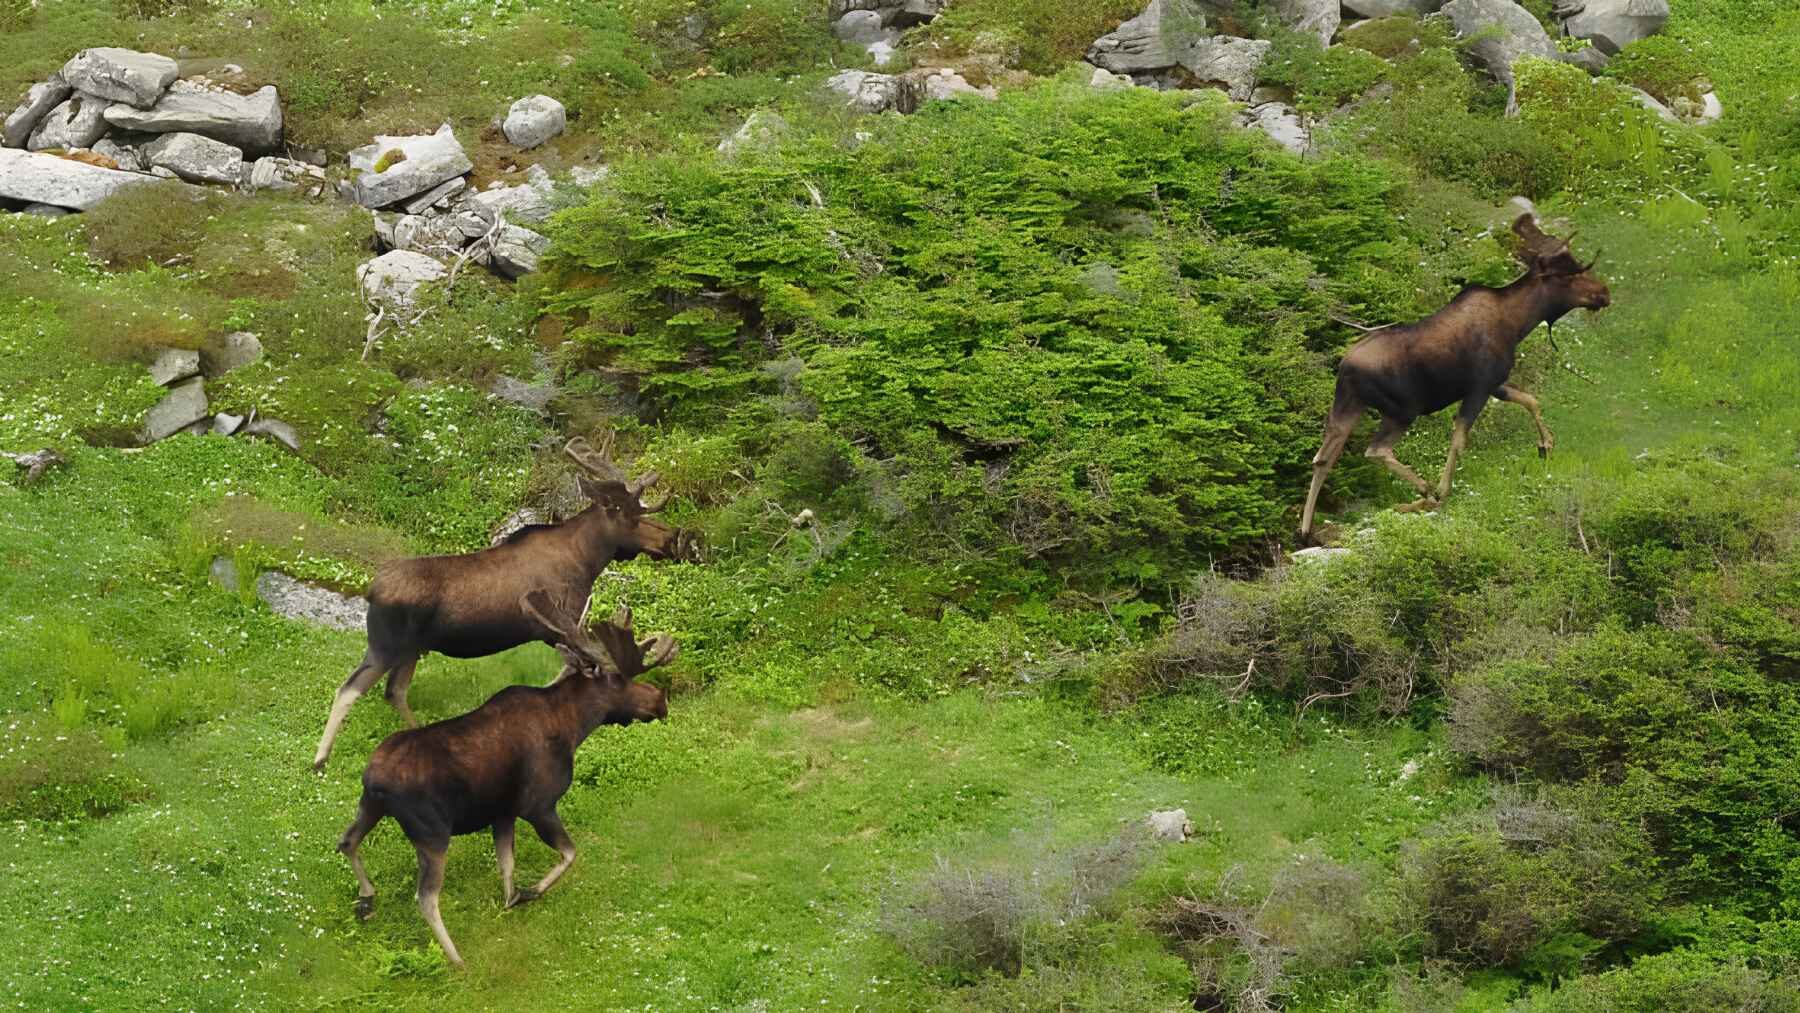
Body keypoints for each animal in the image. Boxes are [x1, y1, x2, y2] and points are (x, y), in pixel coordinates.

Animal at [312, 434, 679, 772]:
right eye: (632, 515)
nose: (669, 538)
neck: (588, 559)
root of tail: (371, 591)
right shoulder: (561, 621)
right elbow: (567, 673)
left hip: (411, 649)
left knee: (394, 691)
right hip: (386, 644)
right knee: (349, 689)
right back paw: (320, 760)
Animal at [336, 589, 675, 969]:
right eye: (622, 679)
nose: (660, 700)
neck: (575, 727)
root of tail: (375, 779)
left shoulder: (502, 812)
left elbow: (507, 864)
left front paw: (511, 898)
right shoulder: (538, 804)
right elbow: (570, 853)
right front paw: (528, 894)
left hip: (369, 806)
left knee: (346, 841)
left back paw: (367, 899)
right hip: (432, 832)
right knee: (426, 896)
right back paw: (458, 962)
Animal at [1298, 214, 1610, 542]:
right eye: (1569, 277)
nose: (1605, 293)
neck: (1518, 323)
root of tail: (1345, 368)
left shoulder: (1496, 383)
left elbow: (1530, 400)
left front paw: (1546, 443)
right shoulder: (1479, 388)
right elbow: (1460, 439)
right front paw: (1443, 490)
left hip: (1347, 407)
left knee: (1323, 458)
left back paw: (1306, 529)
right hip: (1402, 410)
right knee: (1376, 450)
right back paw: (1425, 491)